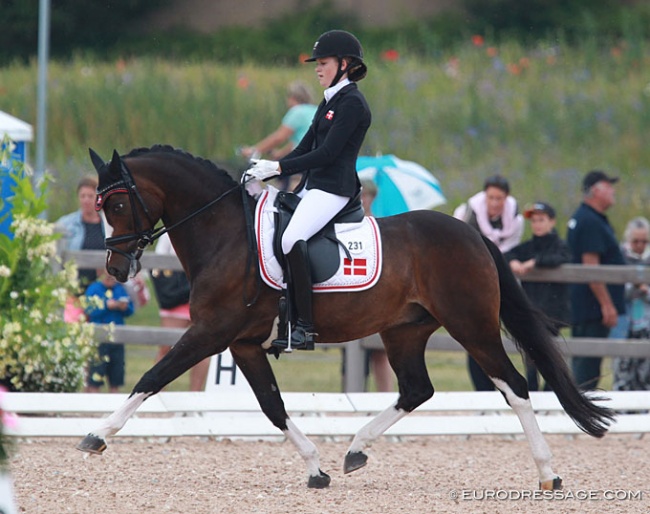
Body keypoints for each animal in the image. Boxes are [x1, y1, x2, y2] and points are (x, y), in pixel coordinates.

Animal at [77, 144, 612, 488]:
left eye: (118, 203)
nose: (116, 268)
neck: (225, 235)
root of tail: (472, 233)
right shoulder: (242, 343)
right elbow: (272, 406)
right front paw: (316, 469)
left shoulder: (210, 333)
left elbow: (152, 377)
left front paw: (96, 435)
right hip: (404, 331)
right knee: (417, 389)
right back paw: (355, 449)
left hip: (472, 327)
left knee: (515, 386)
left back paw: (548, 473)